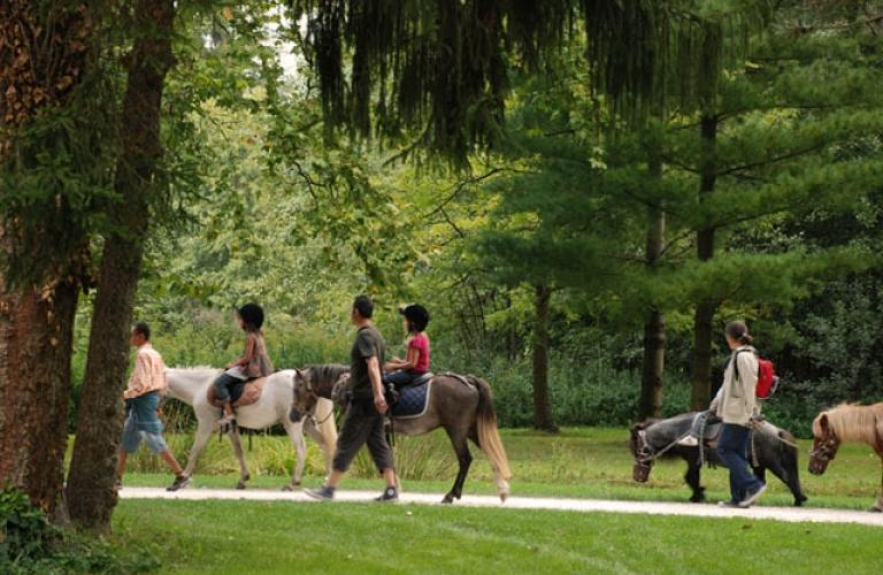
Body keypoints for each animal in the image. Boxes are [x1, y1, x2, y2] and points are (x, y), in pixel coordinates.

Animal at [165, 368, 338, 490]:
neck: (201, 387)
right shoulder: (230, 429)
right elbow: (239, 451)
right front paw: (243, 479)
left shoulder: (205, 424)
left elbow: (195, 450)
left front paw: (181, 480)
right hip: (308, 424)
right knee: (325, 444)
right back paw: (326, 480)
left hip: (292, 424)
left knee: (301, 449)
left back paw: (292, 483)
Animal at [288, 364, 512, 504]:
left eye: (297, 388)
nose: (293, 415)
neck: (352, 388)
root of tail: (468, 380)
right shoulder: (382, 433)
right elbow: (387, 458)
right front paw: (394, 488)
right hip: (471, 429)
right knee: (490, 453)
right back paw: (502, 490)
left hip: (456, 430)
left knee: (465, 459)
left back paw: (451, 495)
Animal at [630, 412, 807, 506]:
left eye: (637, 448)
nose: (637, 478)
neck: (681, 432)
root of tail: (777, 431)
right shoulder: (695, 462)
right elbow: (692, 478)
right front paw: (698, 495)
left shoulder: (693, 460)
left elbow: (690, 478)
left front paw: (698, 495)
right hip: (759, 464)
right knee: (760, 480)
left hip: (772, 463)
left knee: (787, 477)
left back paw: (799, 500)